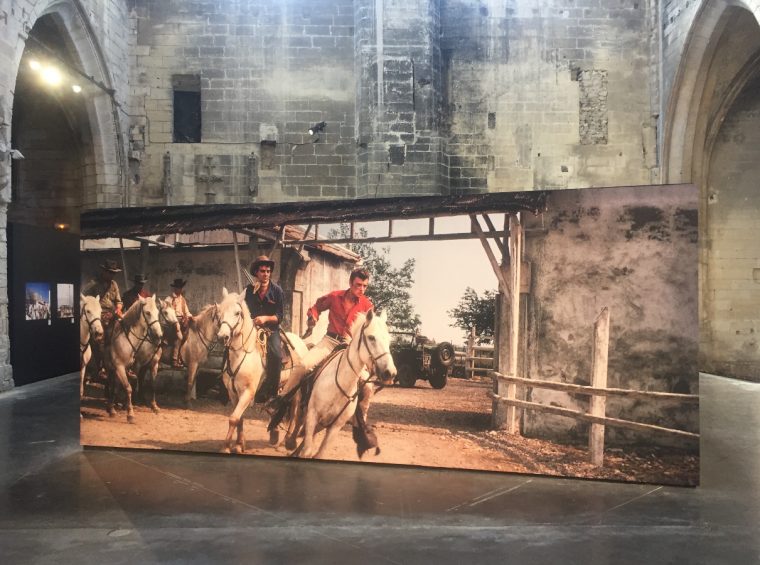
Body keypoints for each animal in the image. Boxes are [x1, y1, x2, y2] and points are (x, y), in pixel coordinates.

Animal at [298, 308, 398, 458]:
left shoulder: (335, 427)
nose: (390, 373)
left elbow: (319, 453)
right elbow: (306, 450)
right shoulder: (312, 415)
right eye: (371, 337)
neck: (338, 387)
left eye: (389, 340)